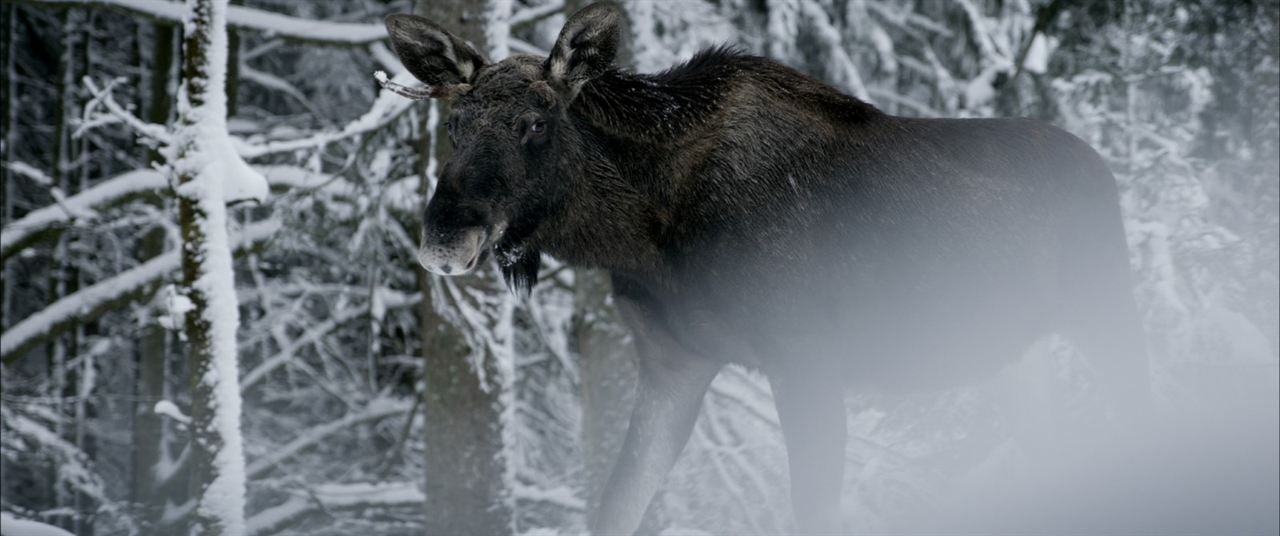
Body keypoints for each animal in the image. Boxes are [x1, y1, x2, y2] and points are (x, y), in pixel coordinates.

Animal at [381, 3, 1152, 532]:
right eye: (454, 124)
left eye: (536, 122)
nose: (444, 234)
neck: (639, 233)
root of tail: (1104, 172)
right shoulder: (673, 361)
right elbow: (617, 505)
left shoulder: (804, 355)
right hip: (1021, 357)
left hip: (1107, 315)